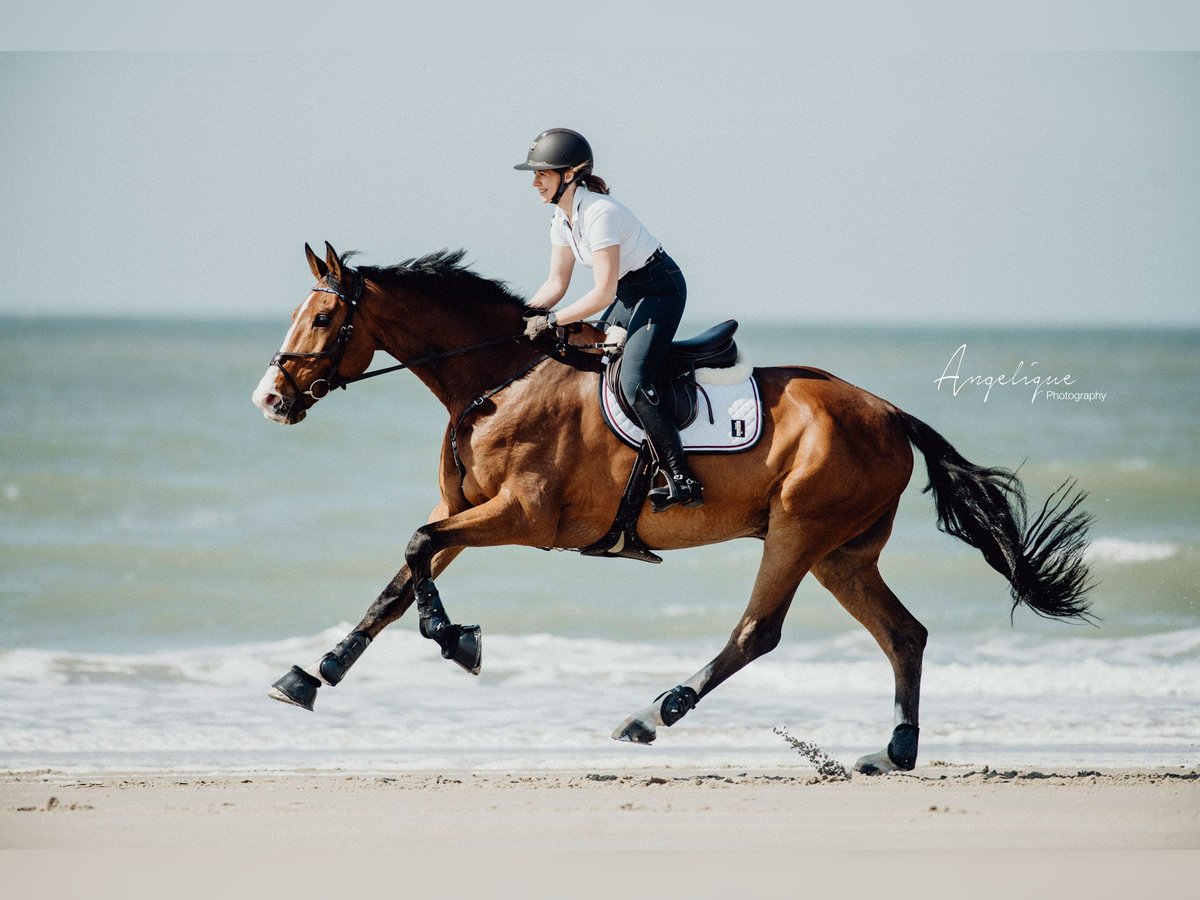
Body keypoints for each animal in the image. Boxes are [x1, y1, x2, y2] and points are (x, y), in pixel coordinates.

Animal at [253, 241, 1099, 777]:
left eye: (322, 320)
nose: (269, 399)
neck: (497, 379)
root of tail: (891, 413)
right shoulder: (469, 508)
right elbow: (404, 572)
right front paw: (315, 673)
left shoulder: (522, 518)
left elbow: (415, 548)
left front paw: (458, 642)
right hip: (844, 554)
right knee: (905, 634)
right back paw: (894, 750)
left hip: (799, 530)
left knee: (759, 631)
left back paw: (653, 714)